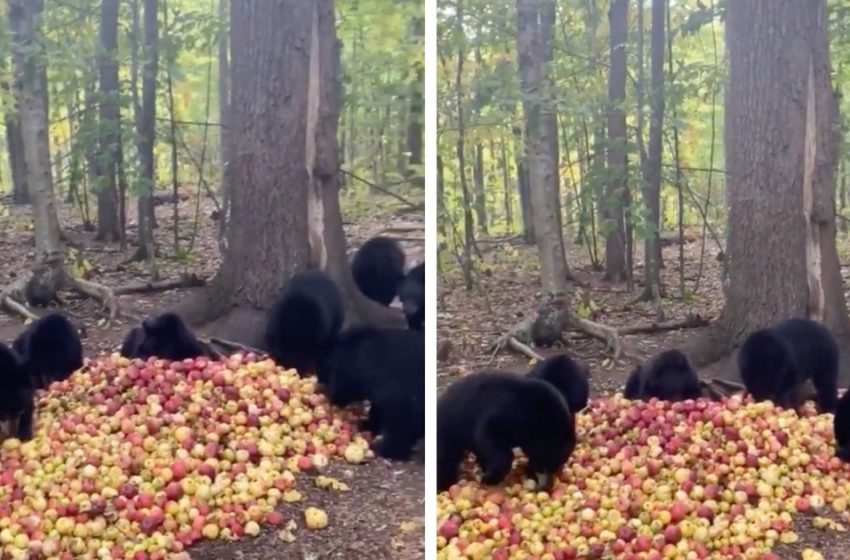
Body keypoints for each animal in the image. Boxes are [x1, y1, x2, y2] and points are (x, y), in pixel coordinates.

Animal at [438, 372, 576, 490]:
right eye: (546, 464)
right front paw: (489, 478)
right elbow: (488, 433)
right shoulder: (508, 413)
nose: (547, 487)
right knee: (446, 459)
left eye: (558, 465)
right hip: (449, 430)